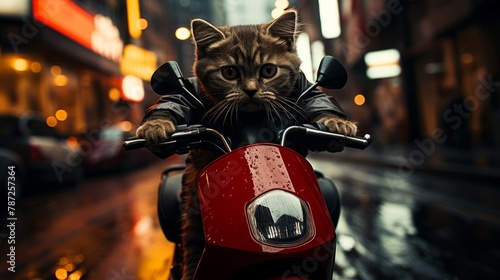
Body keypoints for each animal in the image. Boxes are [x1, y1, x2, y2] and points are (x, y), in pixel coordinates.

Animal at [135, 9, 358, 280]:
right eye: (229, 73)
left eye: (269, 71)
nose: (251, 90)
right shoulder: (193, 90)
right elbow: (177, 98)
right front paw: (156, 124)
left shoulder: (302, 85)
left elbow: (315, 97)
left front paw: (336, 123)